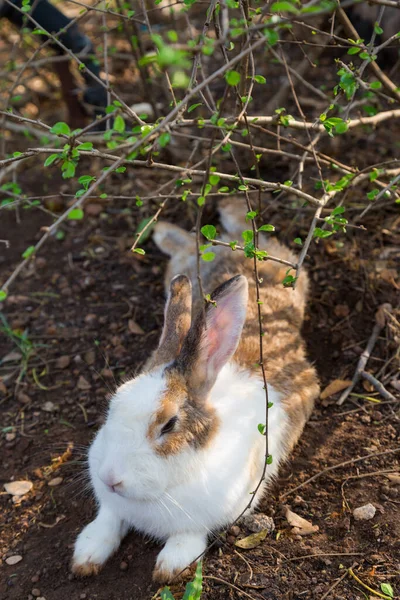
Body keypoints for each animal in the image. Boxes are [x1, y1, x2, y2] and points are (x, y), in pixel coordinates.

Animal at [72, 199, 320, 584]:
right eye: (112, 406)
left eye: (169, 424)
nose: (111, 478)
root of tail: (240, 245)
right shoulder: (112, 506)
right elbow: (108, 519)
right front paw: (86, 555)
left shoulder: (213, 513)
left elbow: (188, 536)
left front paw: (170, 567)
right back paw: (171, 234)